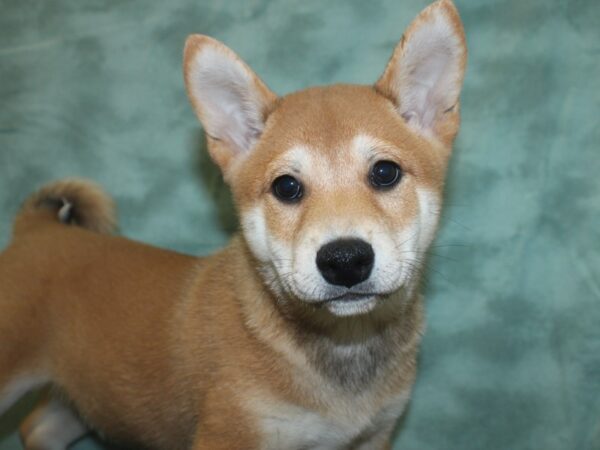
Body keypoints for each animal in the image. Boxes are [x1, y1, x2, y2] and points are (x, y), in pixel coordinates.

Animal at [0, 1, 468, 448]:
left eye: (385, 172)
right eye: (286, 186)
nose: (345, 260)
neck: (343, 343)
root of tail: (37, 229)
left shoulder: (373, 437)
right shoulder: (227, 435)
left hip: (83, 398)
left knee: (37, 426)